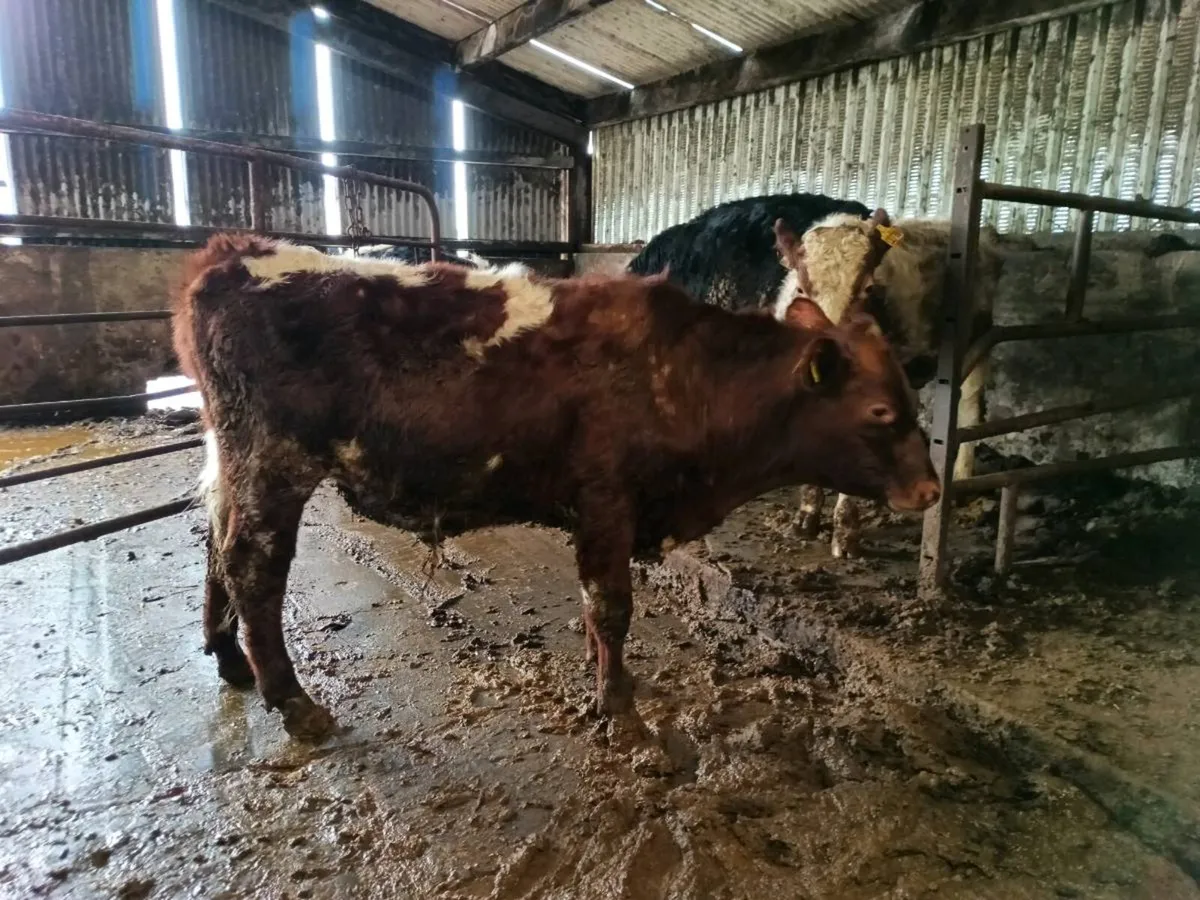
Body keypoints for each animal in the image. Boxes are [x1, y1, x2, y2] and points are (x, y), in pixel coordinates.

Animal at [173, 234, 941, 742]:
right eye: (881, 411)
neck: (683, 374)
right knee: (252, 567)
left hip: (231, 458)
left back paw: (231, 661)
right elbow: (611, 609)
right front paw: (621, 712)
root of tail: (231, 254)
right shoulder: (606, 501)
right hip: (274, 463)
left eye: (911, 394)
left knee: (213, 544)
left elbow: (598, 615)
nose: (931, 491)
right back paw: (292, 702)